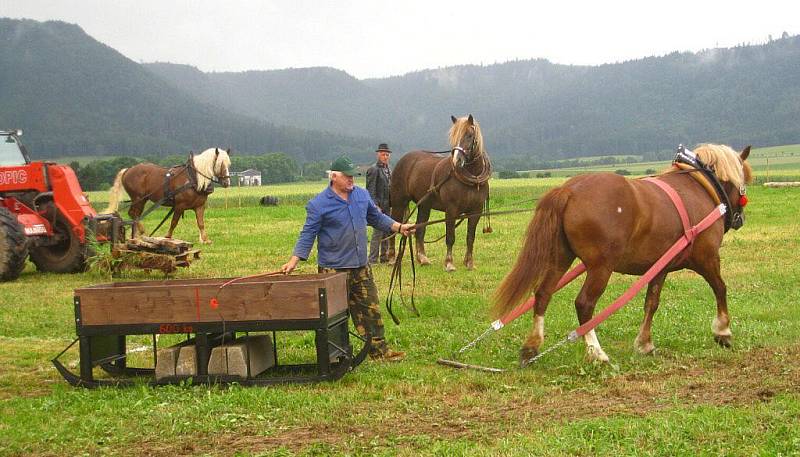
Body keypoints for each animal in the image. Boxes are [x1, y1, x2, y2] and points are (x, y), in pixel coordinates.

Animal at [386, 114, 490, 270]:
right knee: (395, 226)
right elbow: (450, 237)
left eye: (469, 135)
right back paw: (392, 258)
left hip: (424, 206)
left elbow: (470, 237)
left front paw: (469, 263)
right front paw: (449, 263)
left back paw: (422, 258)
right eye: (453, 136)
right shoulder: (451, 210)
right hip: (399, 202)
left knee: (420, 230)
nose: (457, 160)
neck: (472, 179)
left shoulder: (476, 211)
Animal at [494, 142, 752, 364]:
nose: (739, 219)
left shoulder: (660, 267)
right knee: (584, 304)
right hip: (601, 266)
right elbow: (720, 288)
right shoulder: (707, 258)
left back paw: (532, 346)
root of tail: (569, 190)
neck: (701, 186)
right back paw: (596, 352)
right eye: (744, 183)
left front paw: (645, 343)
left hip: (560, 258)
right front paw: (723, 331)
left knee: (543, 294)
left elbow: (651, 303)